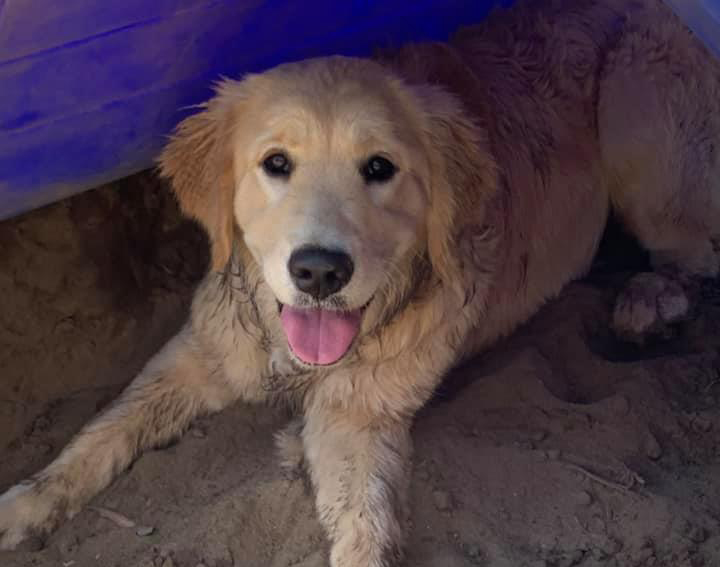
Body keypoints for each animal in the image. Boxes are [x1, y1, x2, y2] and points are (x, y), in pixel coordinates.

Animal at [1, 1, 720, 567]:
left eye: (380, 167)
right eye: (276, 163)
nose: (319, 270)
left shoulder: (362, 415)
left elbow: (364, 522)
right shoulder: (202, 347)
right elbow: (107, 426)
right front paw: (29, 500)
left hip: (638, 124)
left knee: (699, 251)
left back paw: (649, 299)